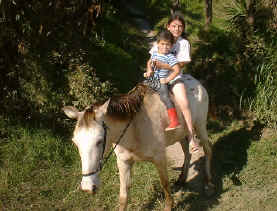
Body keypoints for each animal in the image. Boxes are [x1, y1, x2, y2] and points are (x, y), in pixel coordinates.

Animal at [62, 74, 213, 211]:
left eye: (99, 141)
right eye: (75, 143)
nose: (88, 187)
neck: (134, 129)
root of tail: (195, 81)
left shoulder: (160, 158)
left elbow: (164, 184)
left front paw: (169, 205)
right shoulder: (123, 162)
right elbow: (123, 196)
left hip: (200, 126)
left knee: (207, 149)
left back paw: (208, 183)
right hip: (181, 134)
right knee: (187, 153)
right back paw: (181, 179)